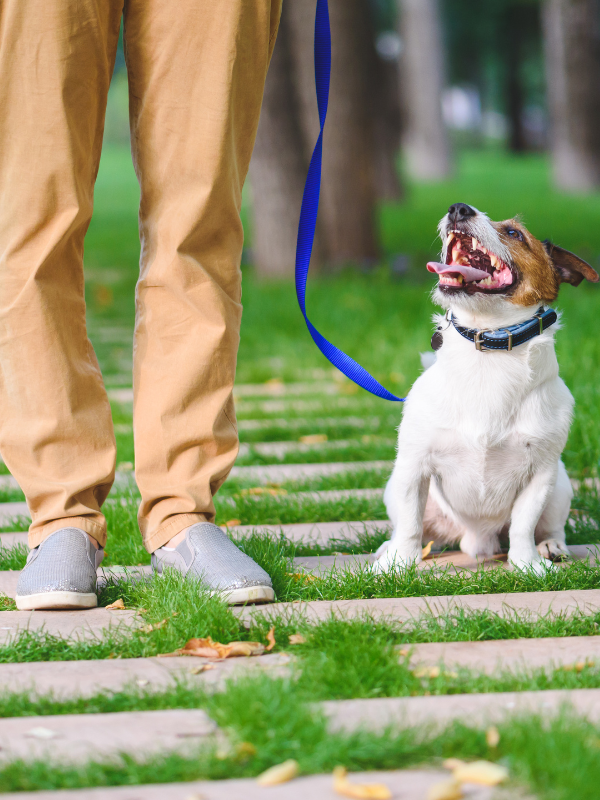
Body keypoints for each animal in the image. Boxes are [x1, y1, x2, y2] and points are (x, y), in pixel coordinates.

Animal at [378, 203, 596, 572]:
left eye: (514, 233)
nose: (458, 208)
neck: (489, 348)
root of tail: (475, 540)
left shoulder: (541, 475)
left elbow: (523, 525)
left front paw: (528, 564)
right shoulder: (413, 466)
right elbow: (409, 525)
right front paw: (395, 565)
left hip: (560, 486)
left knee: (551, 526)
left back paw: (551, 546)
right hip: (398, 488)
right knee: (419, 529)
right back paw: (388, 548)